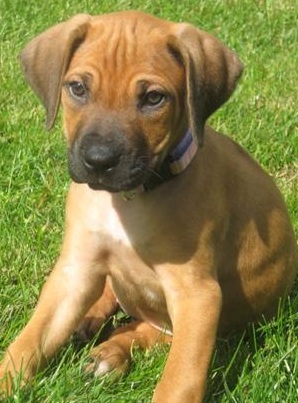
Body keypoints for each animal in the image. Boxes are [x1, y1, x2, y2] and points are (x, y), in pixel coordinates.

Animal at [0, 10, 296, 403]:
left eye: (154, 98)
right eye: (77, 88)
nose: (99, 160)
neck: (129, 199)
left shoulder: (197, 295)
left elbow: (180, 377)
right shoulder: (75, 270)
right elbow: (29, 341)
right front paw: (6, 379)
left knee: (150, 332)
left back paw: (110, 352)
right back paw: (91, 320)